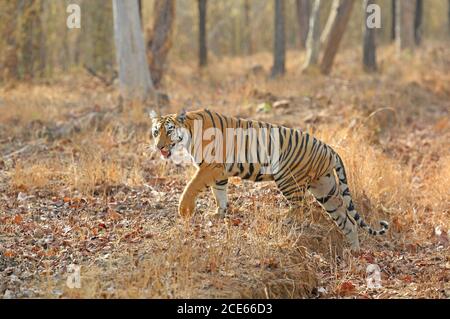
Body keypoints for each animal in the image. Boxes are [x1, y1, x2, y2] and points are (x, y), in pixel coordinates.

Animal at [149, 109, 388, 251]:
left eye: (169, 131)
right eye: (155, 132)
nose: (159, 147)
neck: (189, 130)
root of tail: (329, 149)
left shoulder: (210, 167)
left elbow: (191, 186)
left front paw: (184, 210)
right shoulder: (219, 173)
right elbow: (220, 194)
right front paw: (219, 214)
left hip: (288, 179)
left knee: (300, 208)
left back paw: (284, 219)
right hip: (325, 188)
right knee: (347, 220)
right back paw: (353, 251)